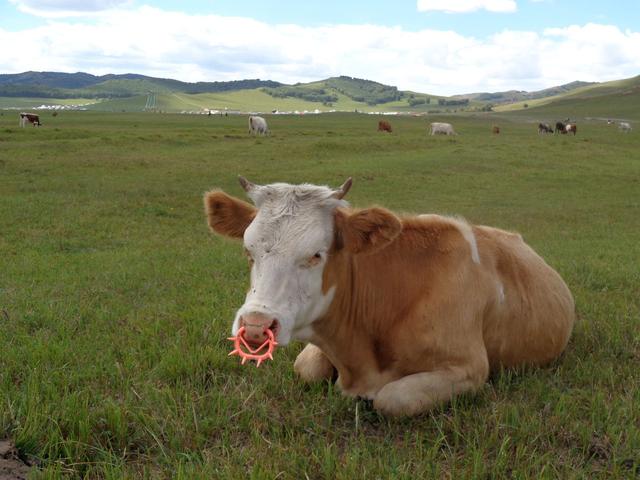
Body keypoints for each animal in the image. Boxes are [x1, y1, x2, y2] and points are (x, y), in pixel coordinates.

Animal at [205, 179, 576, 416]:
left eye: (316, 255)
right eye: (248, 251)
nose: (256, 326)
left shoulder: (469, 368)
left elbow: (393, 399)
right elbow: (306, 366)